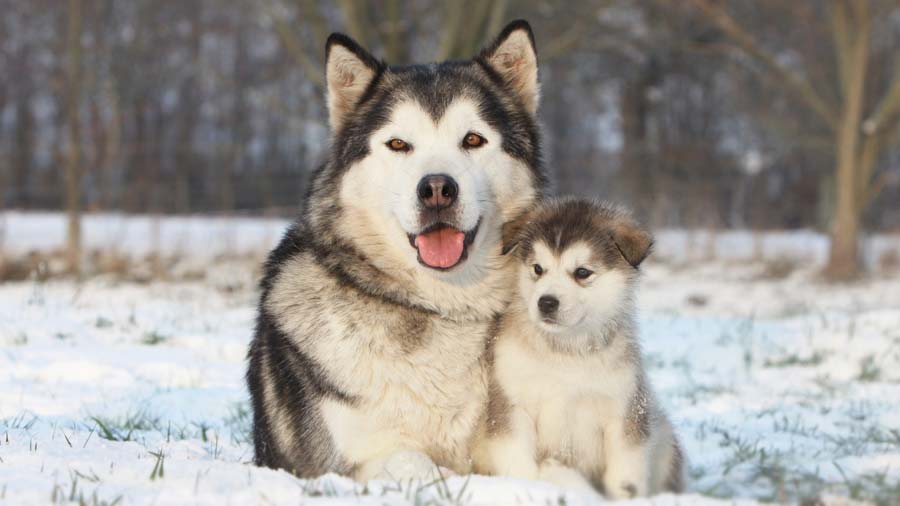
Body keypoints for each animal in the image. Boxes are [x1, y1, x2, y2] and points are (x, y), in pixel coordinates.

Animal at [243, 20, 544, 482]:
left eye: (473, 139)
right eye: (399, 144)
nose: (436, 189)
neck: (441, 306)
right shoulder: (353, 460)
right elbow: (420, 464)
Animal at [474, 198, 684, 498]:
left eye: (582, 272)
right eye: (538, 269)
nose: (546, 302)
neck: (566, 354)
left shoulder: (624, 410)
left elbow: (625, 475)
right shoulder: (511, 404)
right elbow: (520, 462)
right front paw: (529, 486)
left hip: (663, 438)